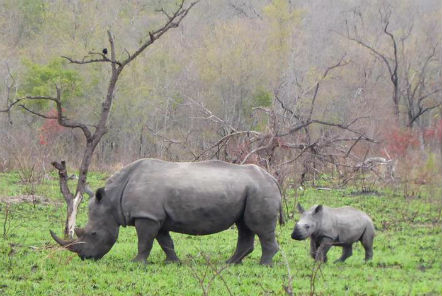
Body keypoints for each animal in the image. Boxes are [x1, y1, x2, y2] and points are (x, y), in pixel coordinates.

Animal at [49, 160, 284, 266]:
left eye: (93, 234)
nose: (85, 258)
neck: (112, 199)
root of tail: (273, 179)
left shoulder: (146, 216)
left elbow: (144, 242)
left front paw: (136, 263)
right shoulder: (156, 217)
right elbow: (165, 242)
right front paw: (173, 262)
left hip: (260, 190)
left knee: (259, 228)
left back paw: (264, 265)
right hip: (252, 190)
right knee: (245, 225)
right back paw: (229, 263)